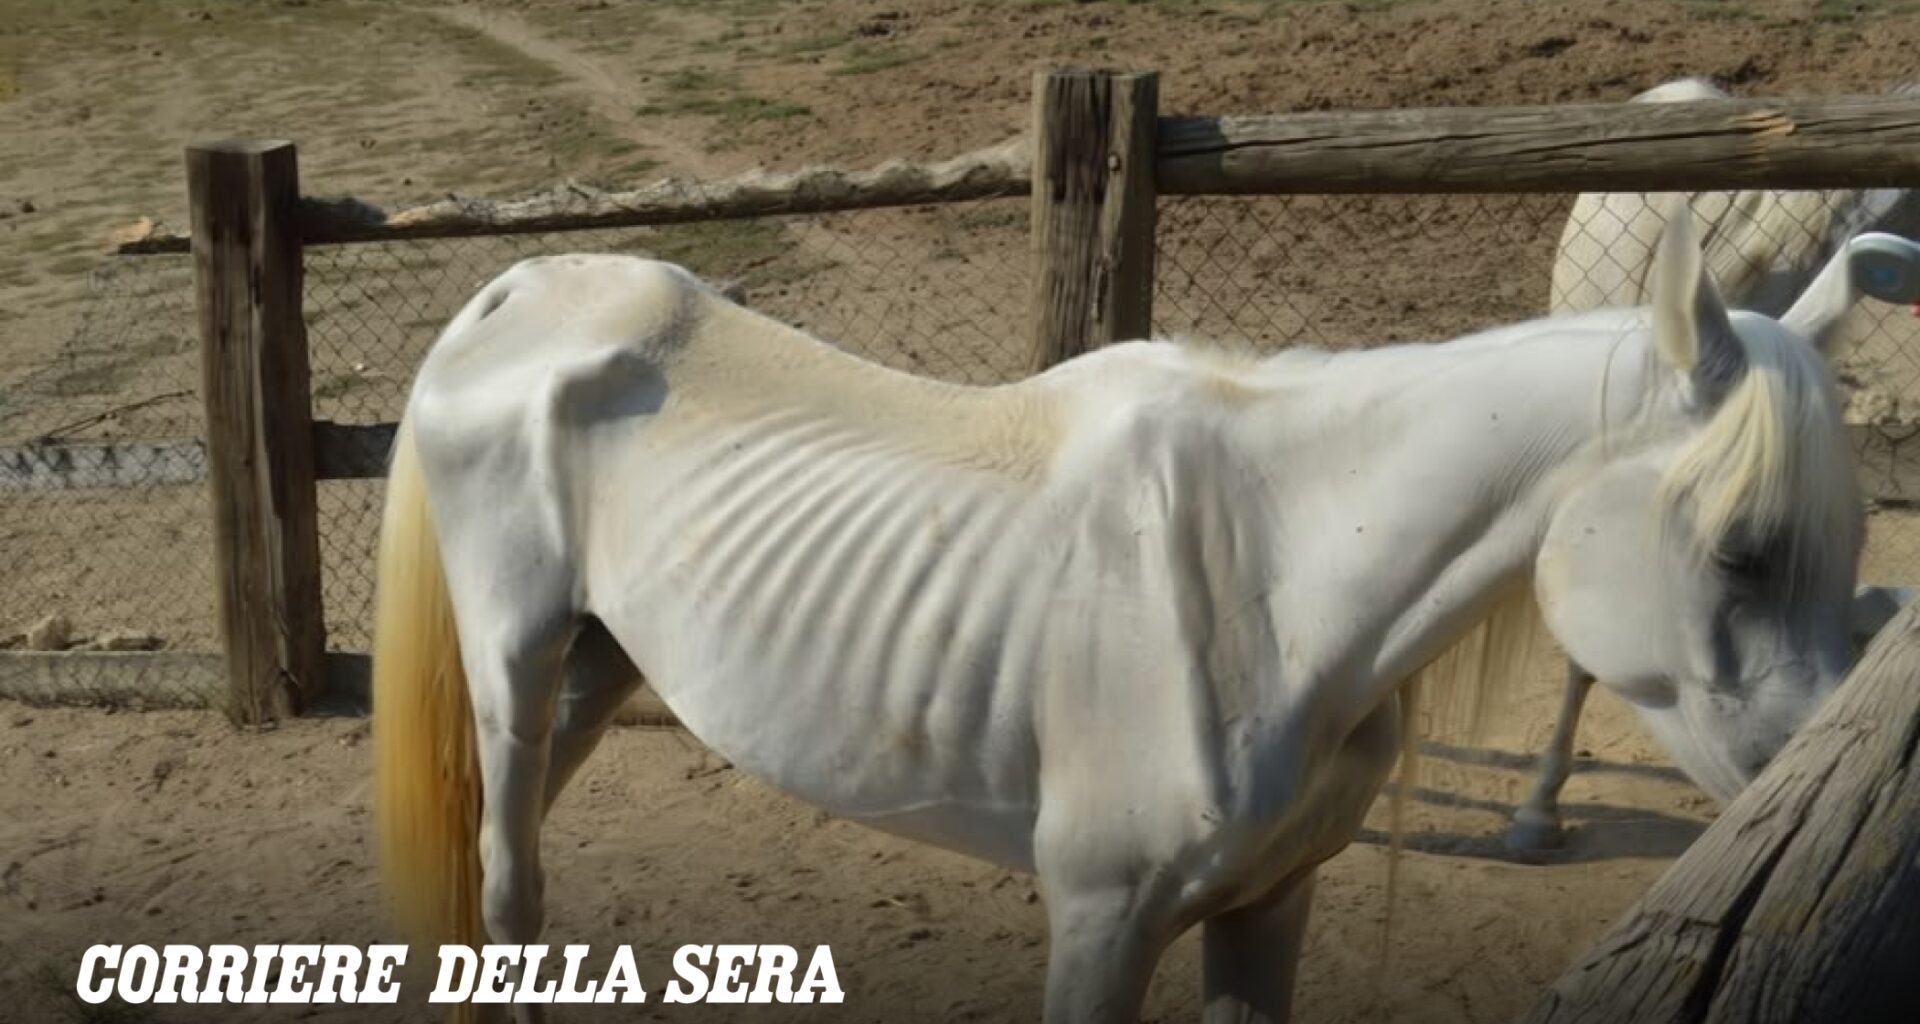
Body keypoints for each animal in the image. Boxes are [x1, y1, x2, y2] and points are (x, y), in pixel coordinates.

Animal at [371, 201, 1880, 1024]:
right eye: (1743, 549)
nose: (1804, 791)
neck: (1281, 577)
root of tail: (517, 292)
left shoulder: (1270, 902)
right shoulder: (1101, 915)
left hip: (598, 663)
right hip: (513, 665)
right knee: (507, 878)